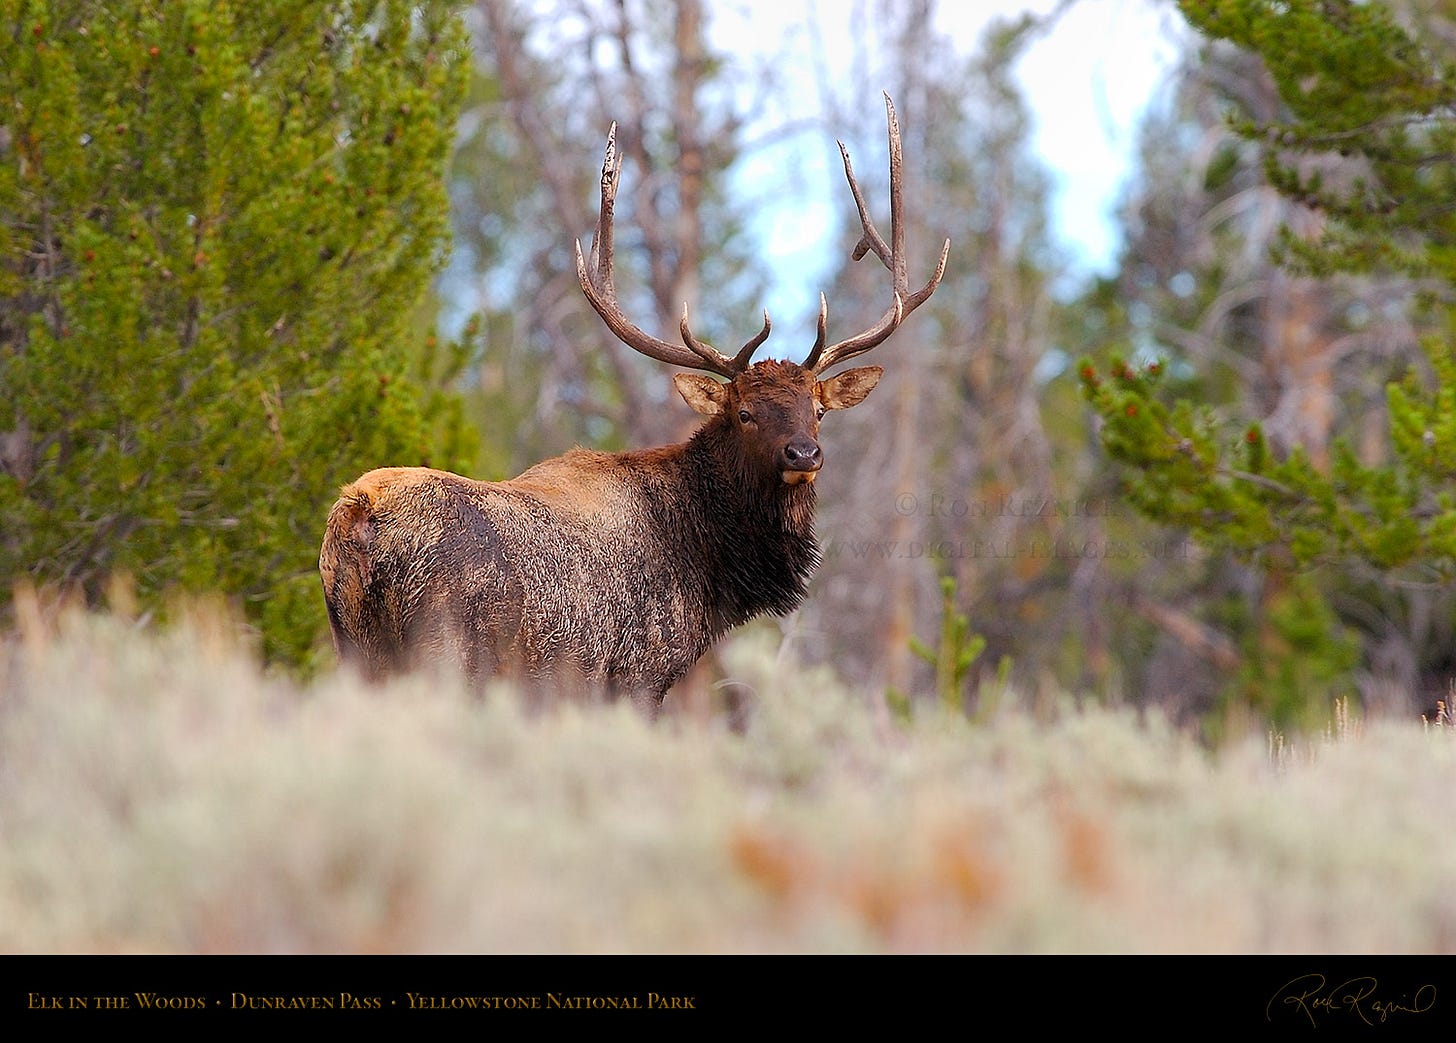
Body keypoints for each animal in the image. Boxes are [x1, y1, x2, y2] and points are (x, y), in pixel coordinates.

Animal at [318, 94, 948, 712]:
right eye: (744, 413)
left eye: (818, 410)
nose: (802, 454)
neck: (710, 566)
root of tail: (359, 512)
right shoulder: (637, 673)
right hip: (444, 649)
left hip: (355, 650)